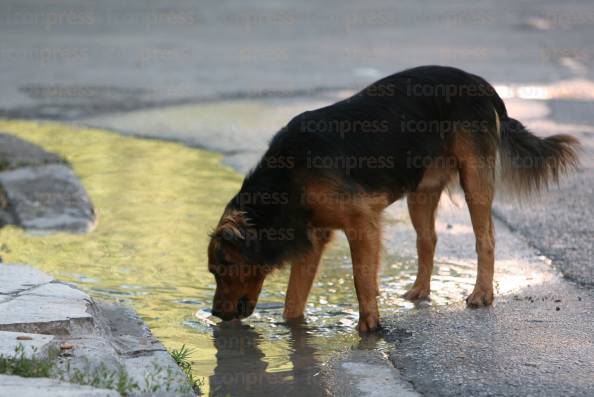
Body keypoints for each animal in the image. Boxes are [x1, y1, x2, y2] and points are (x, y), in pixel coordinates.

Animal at [206, 65, 576, 332]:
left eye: (222, 270)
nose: (215, 314)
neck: (288, 178)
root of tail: (477, 81)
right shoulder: (314, 237)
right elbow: (293, 298)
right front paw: (294, 328)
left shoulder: (361, 224)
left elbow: (361, 278)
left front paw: (369, 325)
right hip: (420, 193)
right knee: (427, 240)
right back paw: (420, 291)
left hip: (475, 181)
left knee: (485, 238)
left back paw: (482, 294)